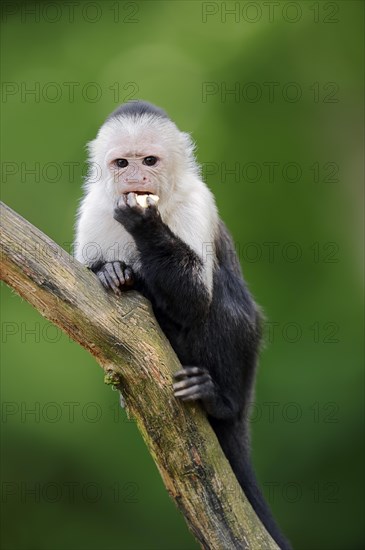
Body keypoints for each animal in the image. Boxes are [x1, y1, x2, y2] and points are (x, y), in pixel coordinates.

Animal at [74, 101, 290, 548]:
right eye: (122, 163)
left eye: (149, 161)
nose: (135, 178)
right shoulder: (93, 211)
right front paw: (109, 271)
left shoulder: (197, 203)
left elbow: (194, 303)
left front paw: (145, 226)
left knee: (223, 303)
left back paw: (217, 400)